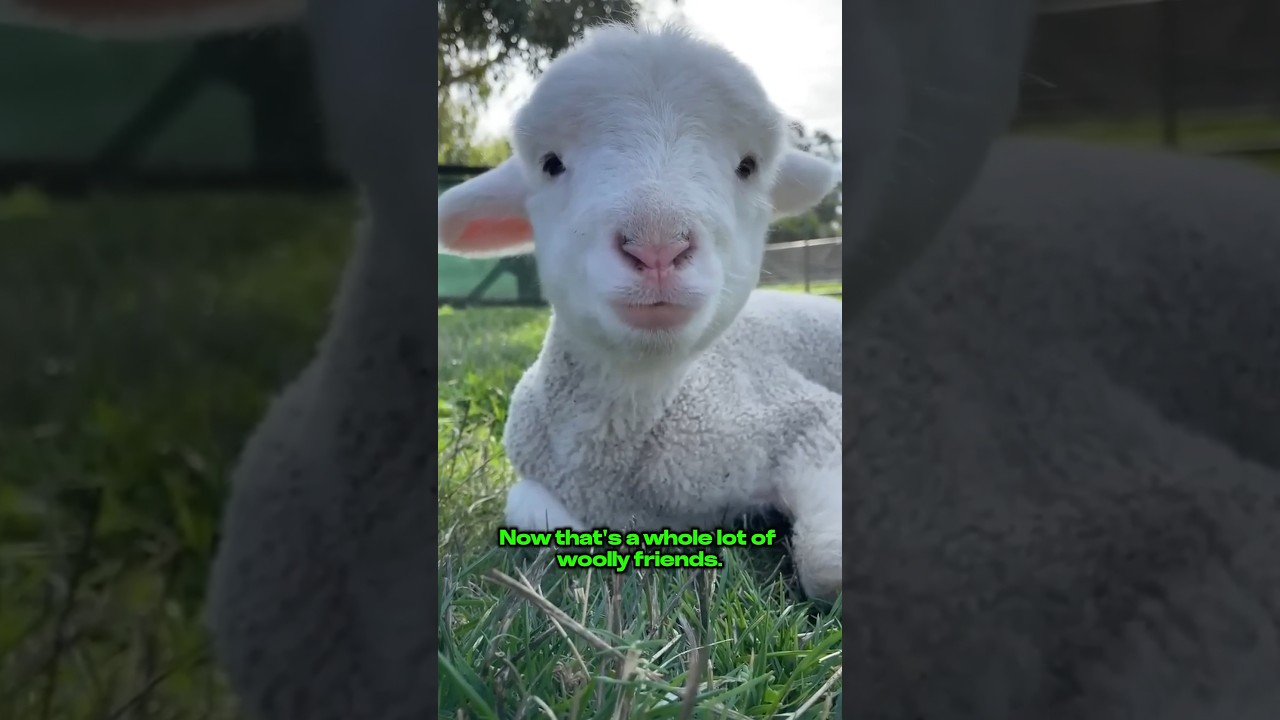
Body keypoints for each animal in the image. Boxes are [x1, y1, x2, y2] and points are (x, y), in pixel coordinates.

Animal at [436, 22, 844, 600]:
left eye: (747, 166)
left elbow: (827, 565)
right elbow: (533, 514)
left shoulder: (808, 416)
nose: (657, 244)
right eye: (551, 163)